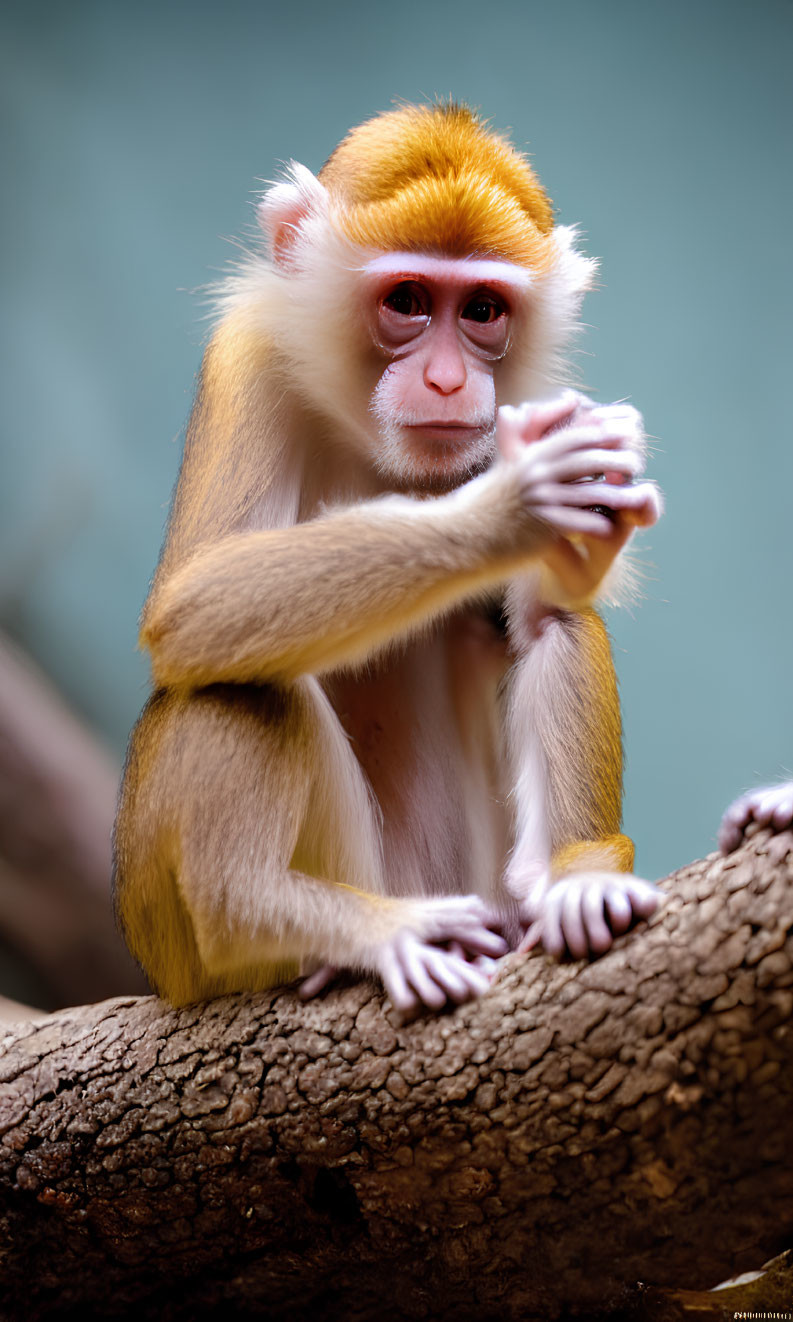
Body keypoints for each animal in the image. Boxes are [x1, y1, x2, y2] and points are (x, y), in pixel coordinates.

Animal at [113, 103, 663, 1010]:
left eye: (482, 310)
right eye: (406, 300)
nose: (445, 383)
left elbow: (550, 613)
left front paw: (581, 878)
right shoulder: (247, 350)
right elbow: (198, 599)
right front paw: (507, 509)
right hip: (171, 936)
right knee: (230, 674)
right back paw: (298, 924)